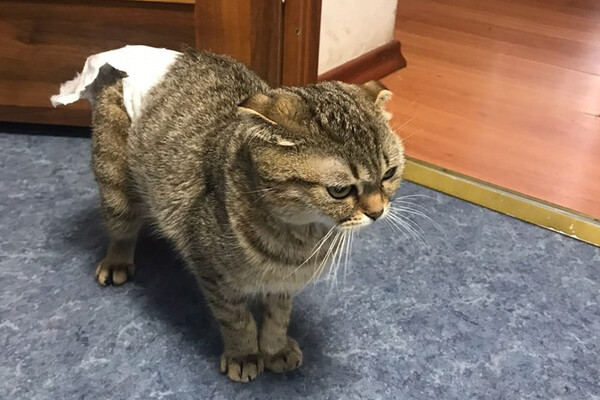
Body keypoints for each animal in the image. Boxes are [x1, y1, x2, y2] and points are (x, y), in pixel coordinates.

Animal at [90, 49, 404, 382]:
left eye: (389, 174)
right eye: (340, 191)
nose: (377, 211)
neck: (300, 239)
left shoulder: (284, 284)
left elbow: (278, 316)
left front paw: (274, 349)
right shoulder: (213, 273)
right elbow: (236, 319)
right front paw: (244, 354)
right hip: (115, 184)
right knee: (121, 229)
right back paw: (117, 261)